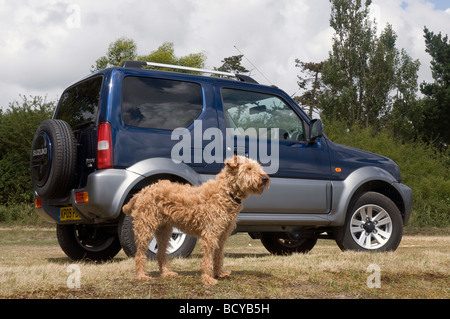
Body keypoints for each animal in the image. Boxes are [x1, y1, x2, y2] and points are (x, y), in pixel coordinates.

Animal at [123, 156, 268, 286]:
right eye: (249, 168)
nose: (265, 178)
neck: (225, 193)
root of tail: (144, 190)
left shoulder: (222, 234)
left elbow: (219, 255)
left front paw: (220, 273)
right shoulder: (210, 234)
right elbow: (208, 258)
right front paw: (208, 279)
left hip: (164, 231)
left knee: (161, 253)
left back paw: (167, 273)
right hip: (146, 228)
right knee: (139, 254)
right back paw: (141, 275)